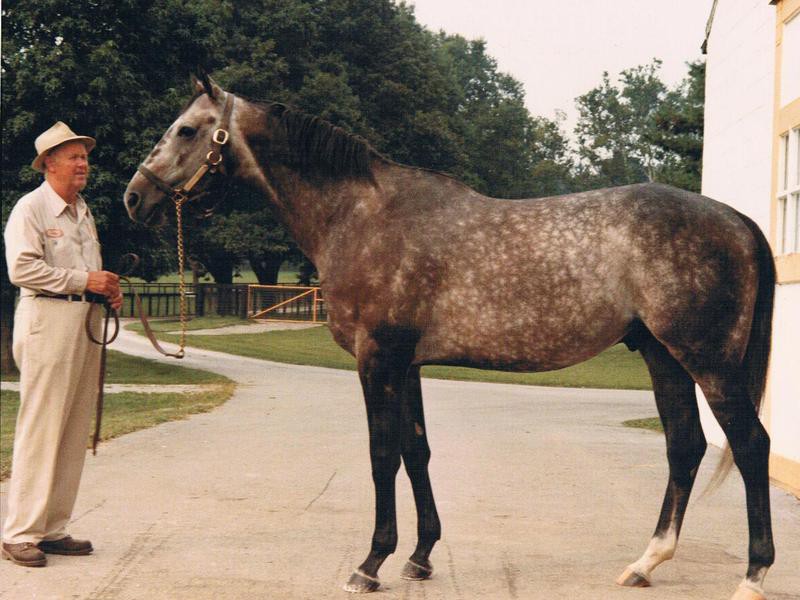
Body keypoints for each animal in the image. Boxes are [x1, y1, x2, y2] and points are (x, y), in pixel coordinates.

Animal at [123, 76, 776, 600]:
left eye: (187, 130)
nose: (135, 196)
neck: (360, 217)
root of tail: (736, 219)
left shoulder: (377, 360)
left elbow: (382, 455)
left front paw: (370, 563)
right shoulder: (407, 364)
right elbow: (417, 452)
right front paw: (419, 557)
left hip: (707, 361)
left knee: (750, 445)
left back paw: (752, 575)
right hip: (664, 356)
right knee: (685, 446)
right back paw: (645, 563)